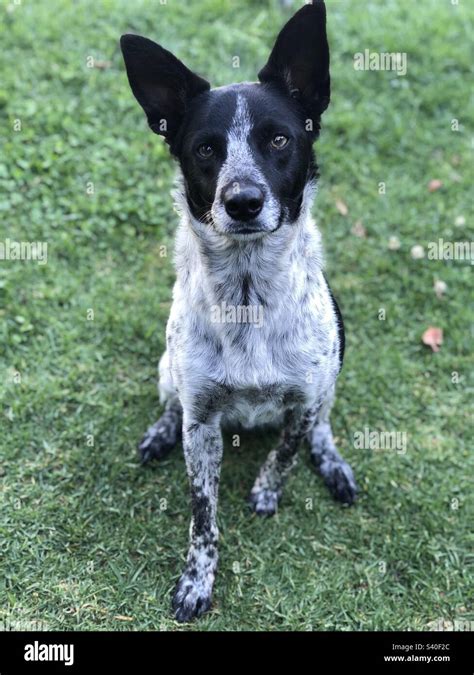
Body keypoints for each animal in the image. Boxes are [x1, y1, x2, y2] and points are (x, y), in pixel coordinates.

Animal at [120, 1, 358, 624]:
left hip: (332, 380)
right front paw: (196, 582)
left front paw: (267, 492)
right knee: (170, 401)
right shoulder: (203, 422)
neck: (249, 295)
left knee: (322, 426)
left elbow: (286, 455)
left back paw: (332, 462)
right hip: (167, 370)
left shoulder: (303, 400)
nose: (243, 201)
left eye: (278, 139)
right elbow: (203, 515)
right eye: (205, 149)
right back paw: (160, 431)